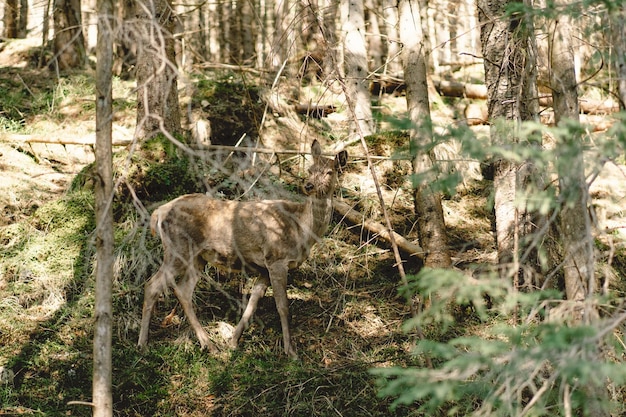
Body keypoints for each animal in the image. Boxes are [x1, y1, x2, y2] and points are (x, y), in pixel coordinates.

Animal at [136, 140, 346, 358]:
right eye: (310, 169)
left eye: (329, 172)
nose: (308, 185)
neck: (301, 230)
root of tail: (158, 212)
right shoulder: (276, 258)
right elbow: (283, 307)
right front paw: (291, 352)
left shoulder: (264, 269)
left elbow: (252, 303)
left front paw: (233, 341)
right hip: (178, 248)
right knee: (152, 285)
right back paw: (143, 344)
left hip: (197, 258)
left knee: (183, 290)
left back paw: (208, 344)